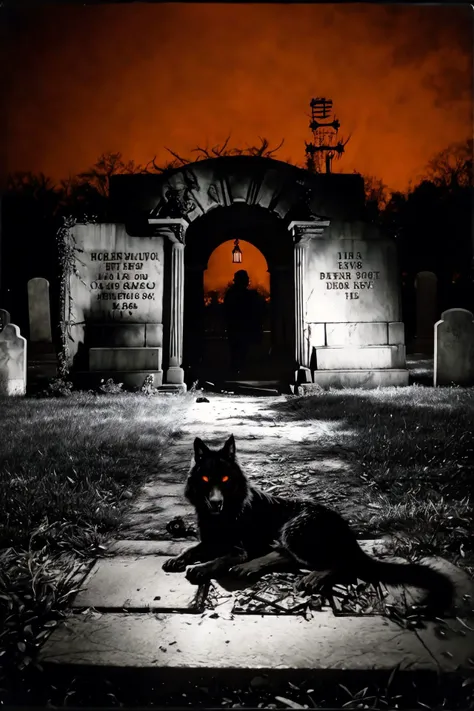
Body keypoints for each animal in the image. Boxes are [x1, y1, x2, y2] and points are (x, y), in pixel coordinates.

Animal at [163, 432, 456, 616]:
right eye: (205, 480)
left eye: (225, 480)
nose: (215, 503)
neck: (225, 513)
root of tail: (348, 533)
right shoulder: (209, 541)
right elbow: (191, 549)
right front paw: (180, 559)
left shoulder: (238, 549)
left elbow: (220, 558)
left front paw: (201, 568)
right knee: (288, 557)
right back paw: (254, 567)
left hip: (295, 527)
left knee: (340, 563)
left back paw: (307, 574)